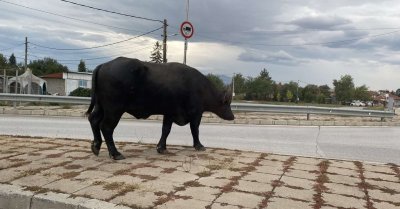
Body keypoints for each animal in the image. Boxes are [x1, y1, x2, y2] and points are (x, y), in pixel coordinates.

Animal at [85, 57, 234, 160]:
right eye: (226, 103)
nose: (232, 116)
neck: (200, 88)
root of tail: (104, 65)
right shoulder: (195, 114)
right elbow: (195, 130)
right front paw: (199, 146)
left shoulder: (169, 113)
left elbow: (165, 130)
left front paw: (161, 148)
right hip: (114, 109)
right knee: (106, 127)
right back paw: (115, 154)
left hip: (101, 107)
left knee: (93, 120)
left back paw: (96, 146)